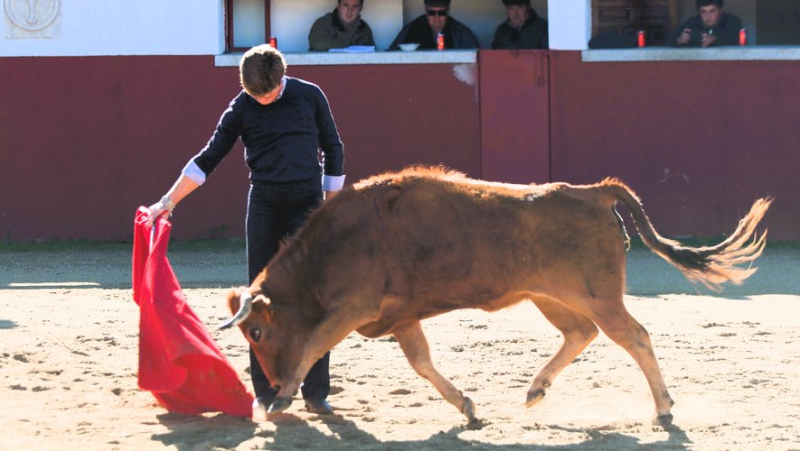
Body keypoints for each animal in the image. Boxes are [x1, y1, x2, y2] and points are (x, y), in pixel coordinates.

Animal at [219, 166, 768, 424]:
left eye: (257, 331)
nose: (269, 384)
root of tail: (596, 191)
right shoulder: (401, 317)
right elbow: (421, 362)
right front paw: (466, 407)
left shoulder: (352, 308)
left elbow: (312, 345)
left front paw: (282, 399)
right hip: (550, 296)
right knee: (581, 333)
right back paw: (535, 390)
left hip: (598, 295)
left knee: (633, 335)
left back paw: (664, 409)